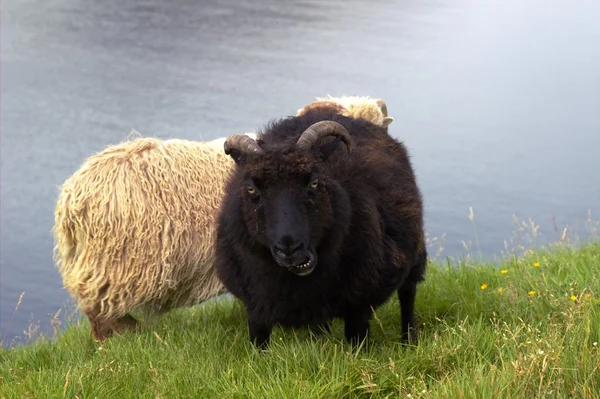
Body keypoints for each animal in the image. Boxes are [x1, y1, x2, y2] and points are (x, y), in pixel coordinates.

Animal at [216, 111, 426, 348]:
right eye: (251, 188)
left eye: (314, 182)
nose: (290, 249)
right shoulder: (255, 307)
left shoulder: (359, 306)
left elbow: (358, 343)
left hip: (415, 251)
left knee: (408, 293)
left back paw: (409, 340)